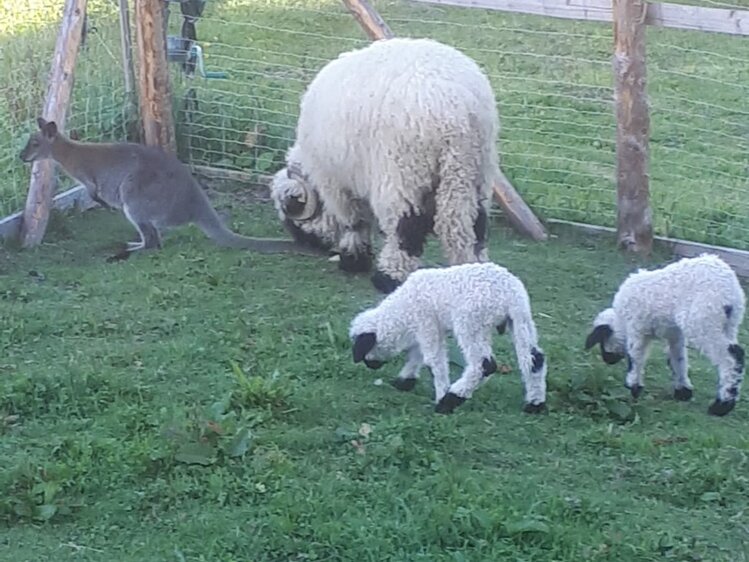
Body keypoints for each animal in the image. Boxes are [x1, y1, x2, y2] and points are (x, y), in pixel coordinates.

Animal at [270, 36, 502, 294]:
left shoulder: (337, 184)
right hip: (471, 170)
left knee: (407, 228)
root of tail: (456, 109)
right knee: (469, 223)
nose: (302, 242)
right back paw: (472, 268)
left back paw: (389, 277)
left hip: (405, 172)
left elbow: (354, 221)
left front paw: (353, 260)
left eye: (291, 209)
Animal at [348, 262, 548, 412]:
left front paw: (440, 394)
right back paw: (535, 404)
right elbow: (418, 355)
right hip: (521, 320)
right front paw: (404, 381)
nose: (370, 365)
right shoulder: (430, 329)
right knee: (534, 359)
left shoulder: (427, 323)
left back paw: (451, 399)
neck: (403, 309)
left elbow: (434, 361)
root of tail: (508, 294)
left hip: (471, 323)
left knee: (483, 365)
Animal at [588, 252, 744, 414]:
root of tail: (728, 287)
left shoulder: (636, 328)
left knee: (731, 357)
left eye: (602, 340)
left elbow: (635, 357)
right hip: (730, 324)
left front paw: (634, 387)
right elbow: (678, 359)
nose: (607, 360)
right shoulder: (675, 334)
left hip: (704, 322)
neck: (621, 319)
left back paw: (722, 405)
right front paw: (683, 391)